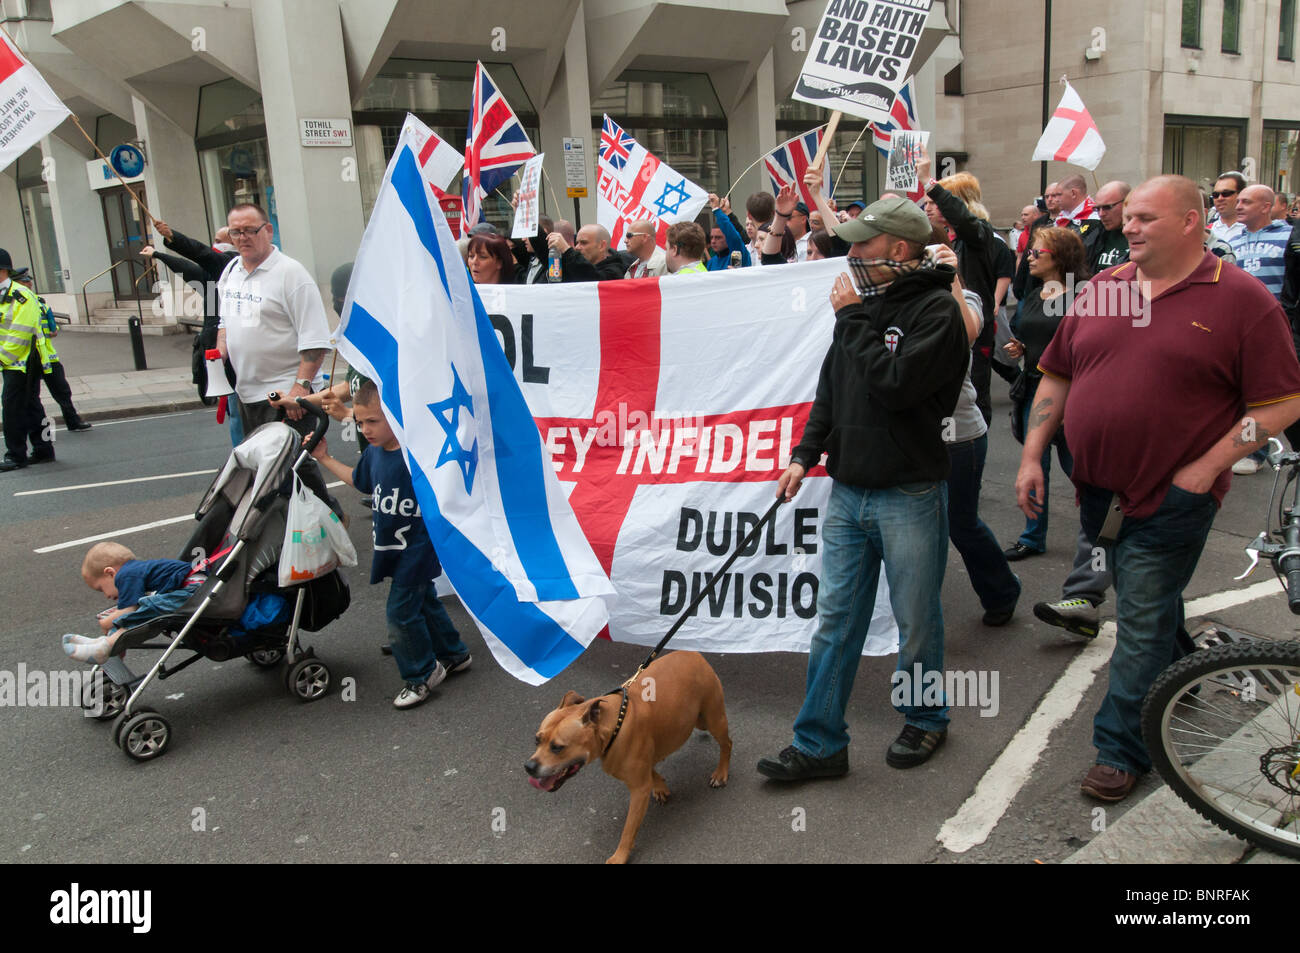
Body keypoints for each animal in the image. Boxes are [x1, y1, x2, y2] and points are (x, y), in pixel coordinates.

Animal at [525, 647, 733, 863]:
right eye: (537, 740)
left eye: (558, 747)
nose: (528, 767)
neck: (612, 724)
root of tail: (693, 653)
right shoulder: (641, 765)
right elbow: (652, 770)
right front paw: (660, 786)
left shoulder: (639, 791)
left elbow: (628, 830)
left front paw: (619, 856)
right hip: (696, 720)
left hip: (713, 720)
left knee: (727, 744)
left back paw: (721, 773)